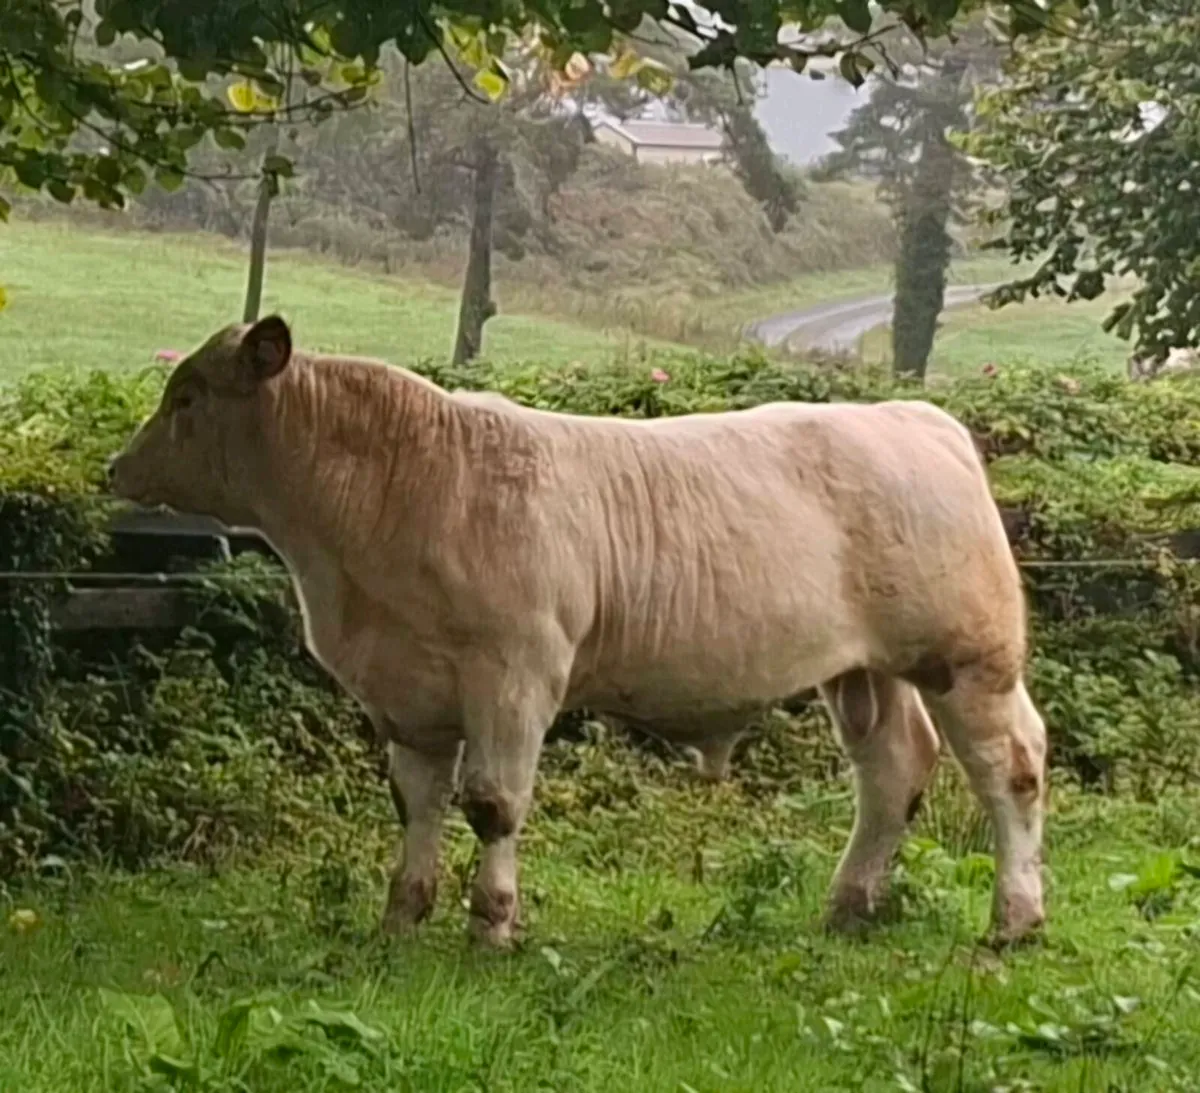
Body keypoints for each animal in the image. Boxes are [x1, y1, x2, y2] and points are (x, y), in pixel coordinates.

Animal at [108, 315, 1049, 949]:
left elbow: (493, 803)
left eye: (187, 395)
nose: (118, 466)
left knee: (1012, 769)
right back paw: (848, 906)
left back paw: (1014, 919)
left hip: (970, 657)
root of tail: (916, 417)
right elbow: (418, 803)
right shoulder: (408, 694)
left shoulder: (515, 673)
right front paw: (401, 919)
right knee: (893, 770)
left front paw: (492, 926)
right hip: (866, 670)